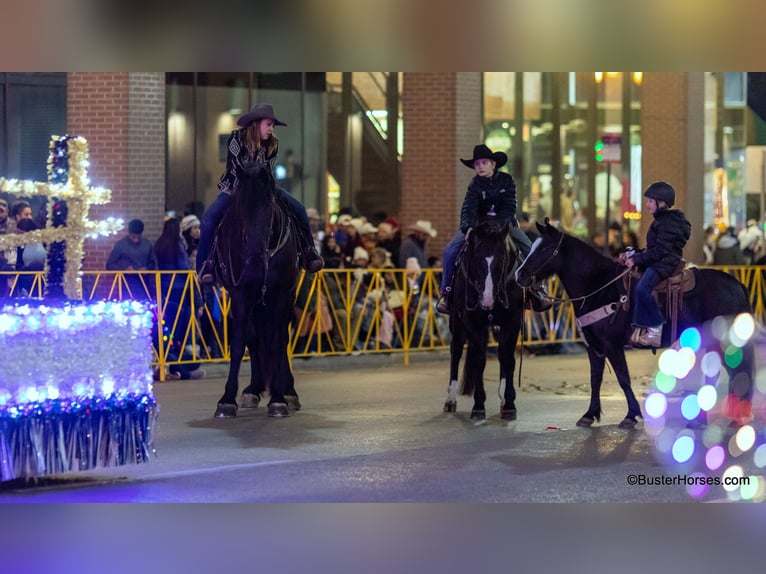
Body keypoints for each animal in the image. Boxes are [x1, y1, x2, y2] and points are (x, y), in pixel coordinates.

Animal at [214, 164, 302, 420]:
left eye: (269, 204)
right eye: (240, 204)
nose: (254, 251)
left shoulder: (280, 295)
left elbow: (275, 342)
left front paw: (279, 399)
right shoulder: (240, 295)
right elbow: (239, 344)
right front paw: (227, 400)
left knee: (281, 339)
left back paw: (289, 391)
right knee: (254, 338)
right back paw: (252, 389)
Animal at [444, 218, 528, 420]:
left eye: (502, 259)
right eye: (476, 259)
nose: (487, 300)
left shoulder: (513, 321)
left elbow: (507, 358)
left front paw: (509, 403)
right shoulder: (469, 321)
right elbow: (479, 359)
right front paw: (478, 405)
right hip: (456, 323)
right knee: (456, 352)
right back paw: (450, 400)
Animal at [516, 223, 756, 430]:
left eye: (545, 248)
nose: (520, 275)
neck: (599, 287)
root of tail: (738, 285)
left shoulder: (612, 346)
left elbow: (623, 379)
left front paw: (631, 416)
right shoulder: (593, 347)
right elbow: (595, 379)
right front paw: (589, 414)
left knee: (738, 371)